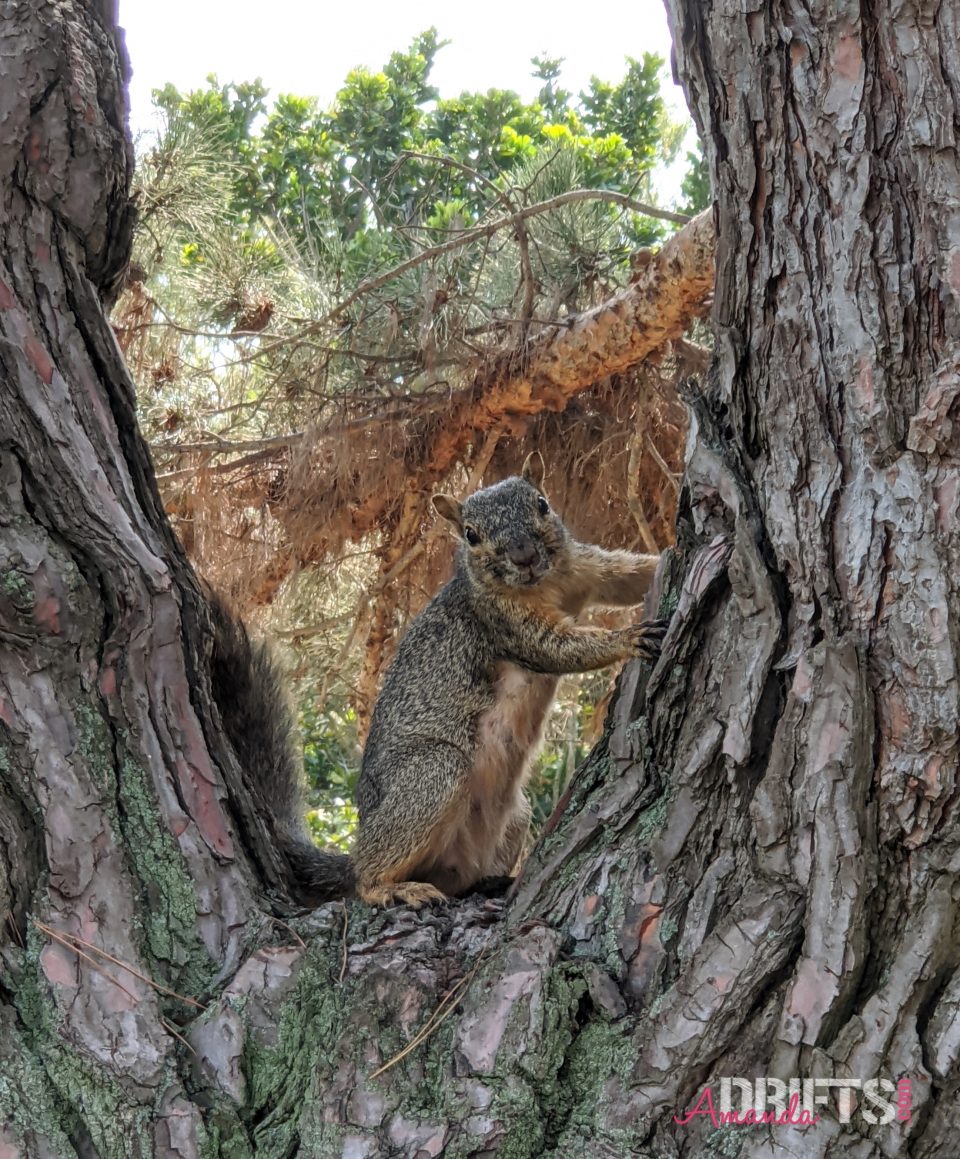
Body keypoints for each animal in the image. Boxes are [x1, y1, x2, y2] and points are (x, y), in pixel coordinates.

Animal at [209, 453, 664, 908]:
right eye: (471, 535)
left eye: (542, 504)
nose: (524, 555)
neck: (546, 584)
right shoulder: (500, 622)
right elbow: (555, 648)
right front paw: (626, 639)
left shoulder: (582, 568)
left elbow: (624, 574)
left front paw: (665, 553)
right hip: (433, 773)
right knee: (366, 876)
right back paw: (393, 887)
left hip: (514, 817)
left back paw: (488, 882)